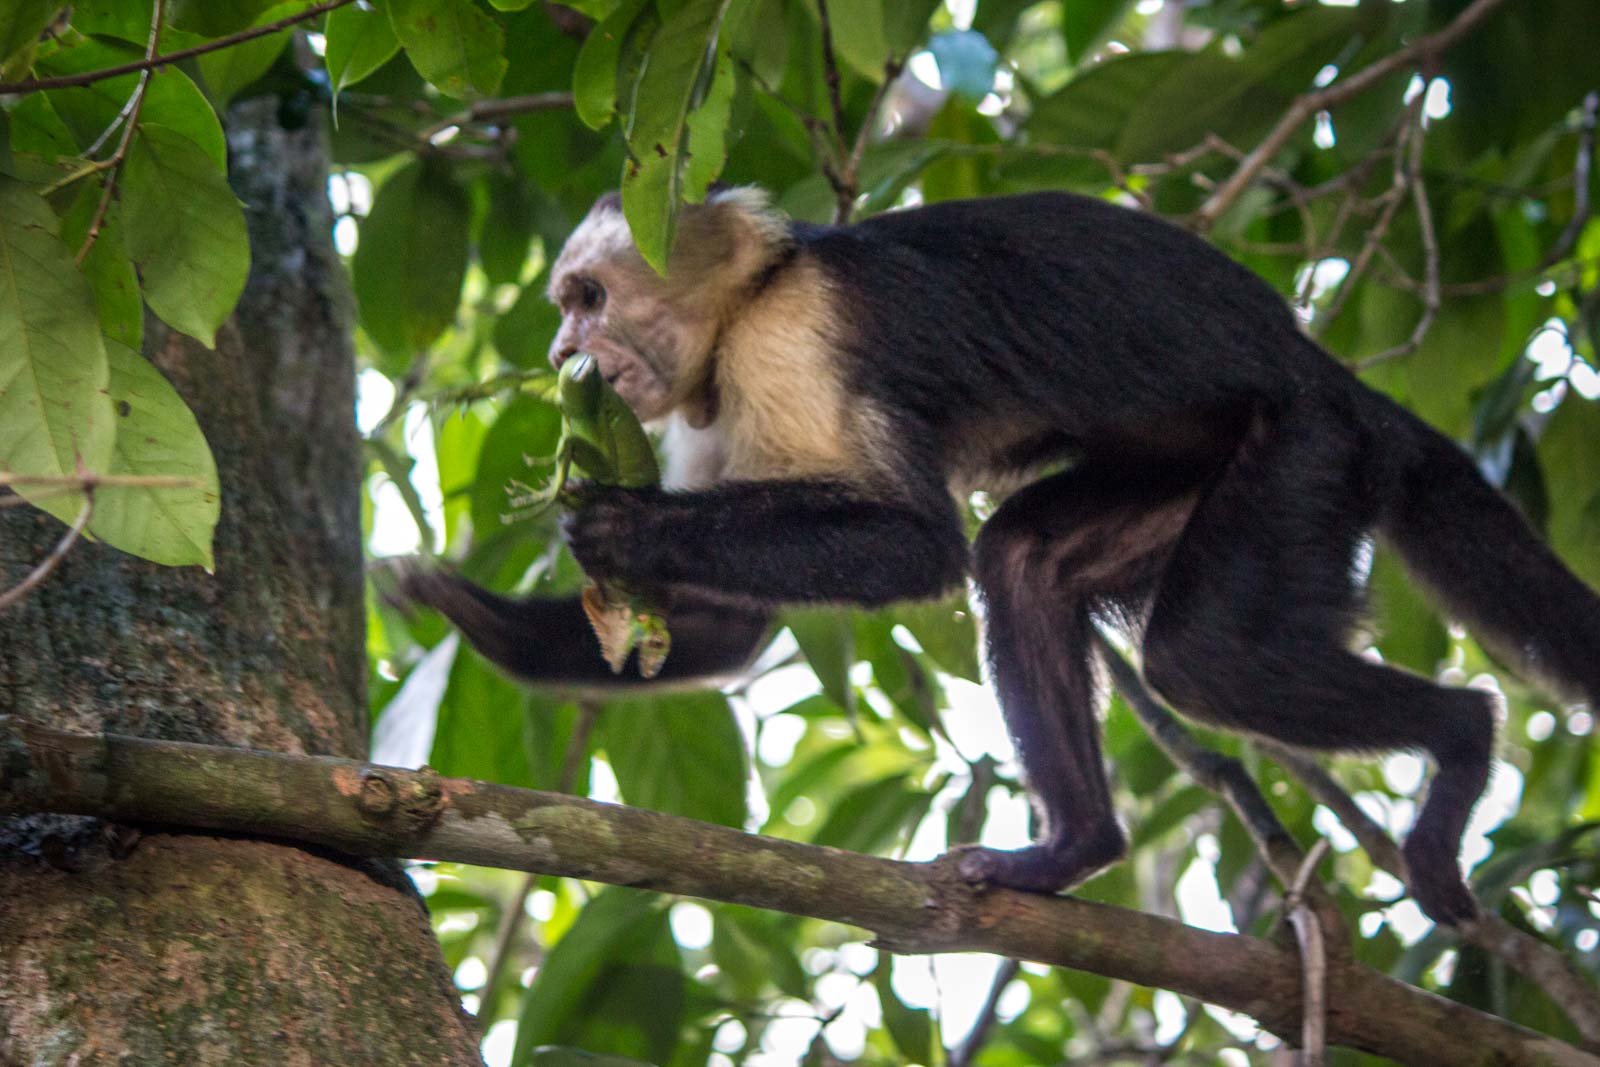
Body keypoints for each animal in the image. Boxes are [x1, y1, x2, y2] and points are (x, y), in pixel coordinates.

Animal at [401, 186, 1600, 926]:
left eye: (587, 299)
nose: (563, 350)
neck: (746, 307)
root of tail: (1337, 379)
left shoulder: (794, 339)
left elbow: (916, 542)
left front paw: (613, 522)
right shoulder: (706, 400)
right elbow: (733, 625)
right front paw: (480, 615)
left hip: (1304, 450)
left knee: (1202, 660)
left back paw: (1461, 742)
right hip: (1196, 472)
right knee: (1025, 558)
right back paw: (1074, 846)